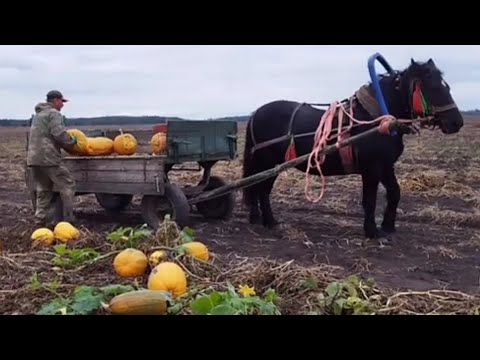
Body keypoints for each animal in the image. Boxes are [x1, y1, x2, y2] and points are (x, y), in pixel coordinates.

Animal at [242, 59, 464, 239]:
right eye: (432, 86)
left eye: (446, 86)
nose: (457, 122)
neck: (378, 119)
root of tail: (256, 113)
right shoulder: (372, 168)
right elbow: (370, 200)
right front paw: (372, 232)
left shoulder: (386, 166)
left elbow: (395, 193)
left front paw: (388, 227)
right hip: (268, 163)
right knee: (262, 190)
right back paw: (270, 221)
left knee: (257, 189)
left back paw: (258, 218)